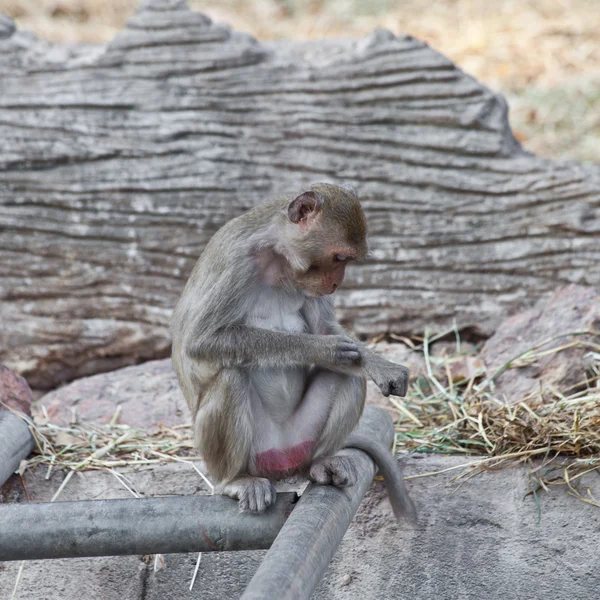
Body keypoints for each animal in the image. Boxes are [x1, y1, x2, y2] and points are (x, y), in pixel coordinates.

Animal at [170, 182, 418, 520]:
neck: (278, 258)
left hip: (301, 439)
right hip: (254, 453)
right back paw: (236, 480)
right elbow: (202, 340)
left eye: (347, 260)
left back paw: (318, 463)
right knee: (230, 378)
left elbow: (328, 330)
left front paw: (379, 364)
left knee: (348, 377)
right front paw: (322, 349)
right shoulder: (237, 262)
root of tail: (283, 460)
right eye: (339, 257)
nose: (337, 283)